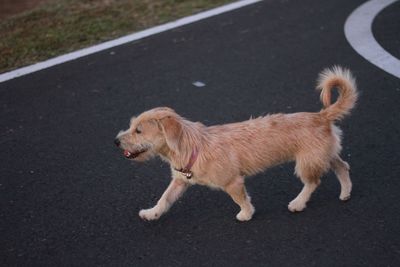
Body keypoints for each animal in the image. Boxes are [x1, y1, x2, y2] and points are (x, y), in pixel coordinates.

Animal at [114, 66, 358, 222]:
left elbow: (240, 199)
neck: (191, 145)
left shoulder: (233, 182)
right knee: (342, 166)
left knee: (313, 182)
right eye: (132, 125)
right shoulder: (180, 181)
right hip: (322, 155)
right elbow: (164, 199)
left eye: (138, 131)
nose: (115, 141)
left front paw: (246, 214)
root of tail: (322, 116)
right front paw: (151, 213)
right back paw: (345, 192)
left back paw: (298, 203)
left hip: (306, 163)